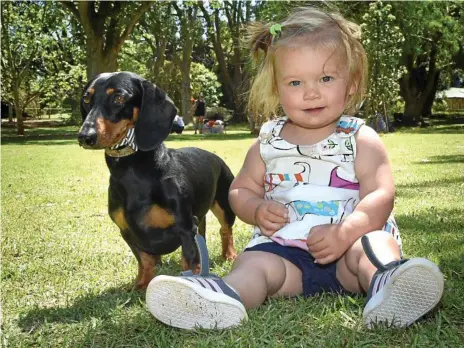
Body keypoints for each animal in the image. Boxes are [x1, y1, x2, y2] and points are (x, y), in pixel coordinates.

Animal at [78, 71, 237, 288]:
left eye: (118, 98)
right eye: (87, 99)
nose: (84, 136)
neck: (133, 172)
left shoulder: (185, 228)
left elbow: (190, 259)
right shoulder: (127, 232)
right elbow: (144, 260)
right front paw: (142, 284)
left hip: (224, 206)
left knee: (225, 230)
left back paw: (229, 255)